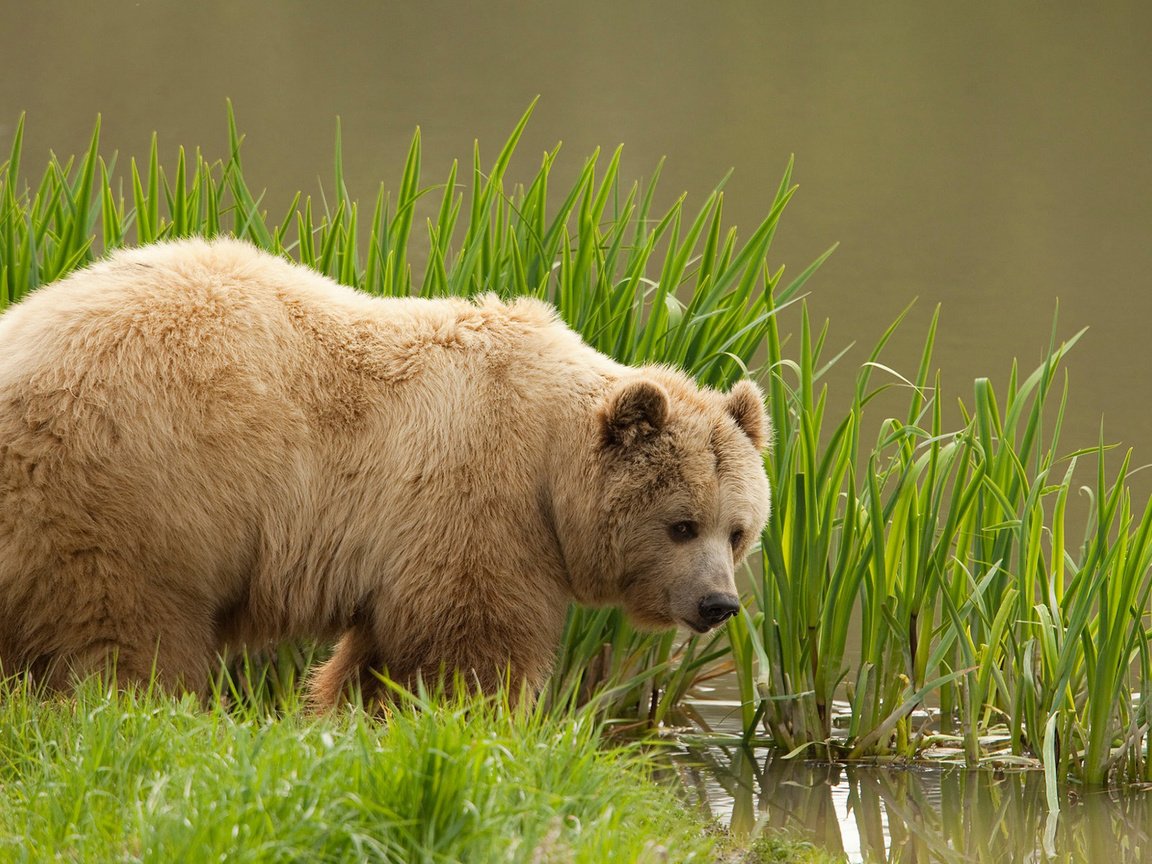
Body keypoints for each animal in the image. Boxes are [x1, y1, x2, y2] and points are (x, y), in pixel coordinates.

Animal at [0, 238, 774, 709]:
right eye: (681, 525)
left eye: (738, 531)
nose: (718, 604)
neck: (550, 466)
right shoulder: (477, 499)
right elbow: (471, 640)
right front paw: (481, 720)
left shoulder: (407, 543)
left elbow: (380, 657)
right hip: (129, 491)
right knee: (124, 637)